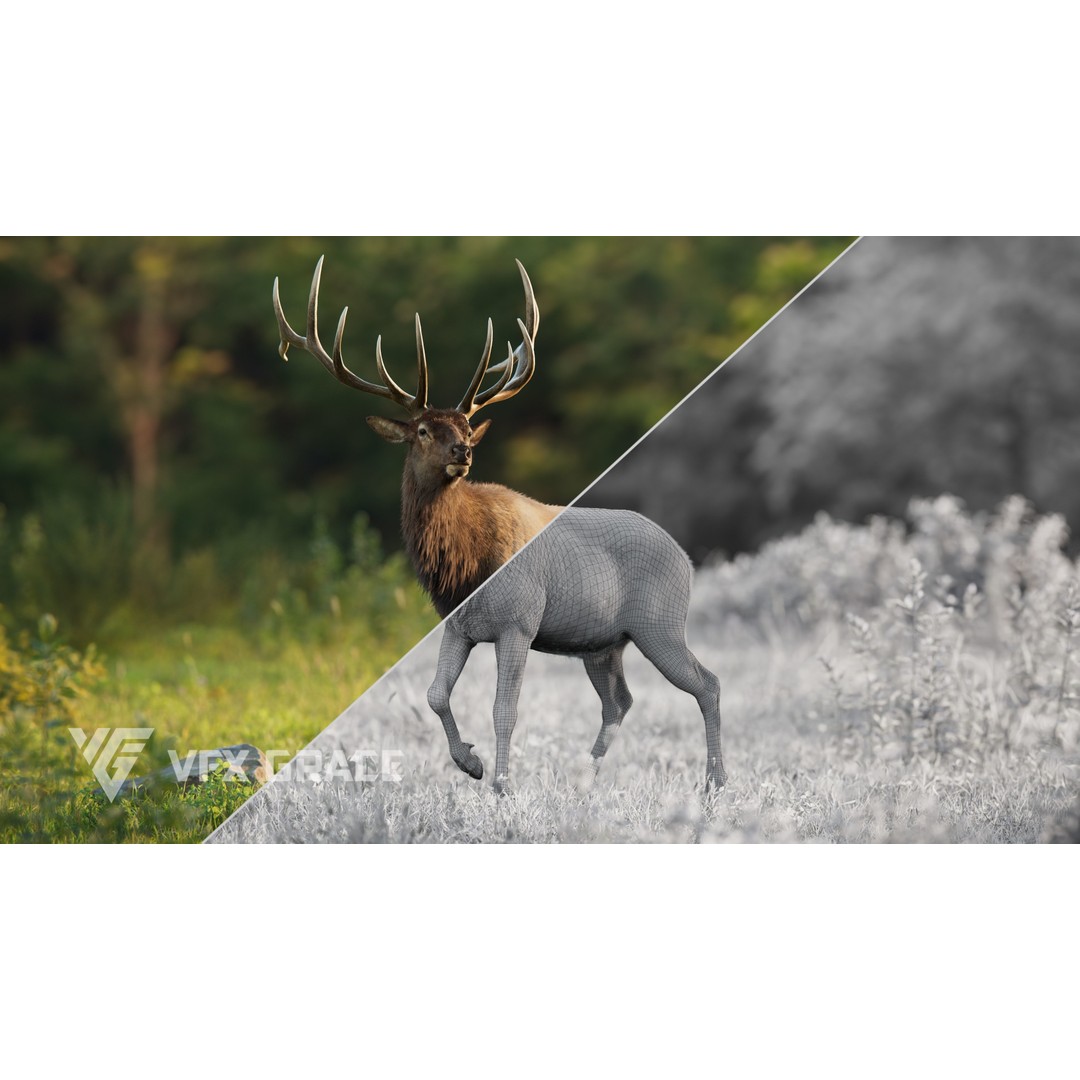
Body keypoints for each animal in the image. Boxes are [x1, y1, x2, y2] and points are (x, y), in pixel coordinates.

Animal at [273, 258, 725, 795]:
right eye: (422, 430)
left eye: (467, 427)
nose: (463, 452)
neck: (465, 570)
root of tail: (686, 557)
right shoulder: (457, 624)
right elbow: (435, 693)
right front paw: (470, 763)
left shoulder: (519, 620)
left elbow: (503, 709)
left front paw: (502, 785)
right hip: (602, 644)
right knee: (620, 701)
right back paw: (585, 779)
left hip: (660, 621)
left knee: (707, 683)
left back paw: (715, 781)